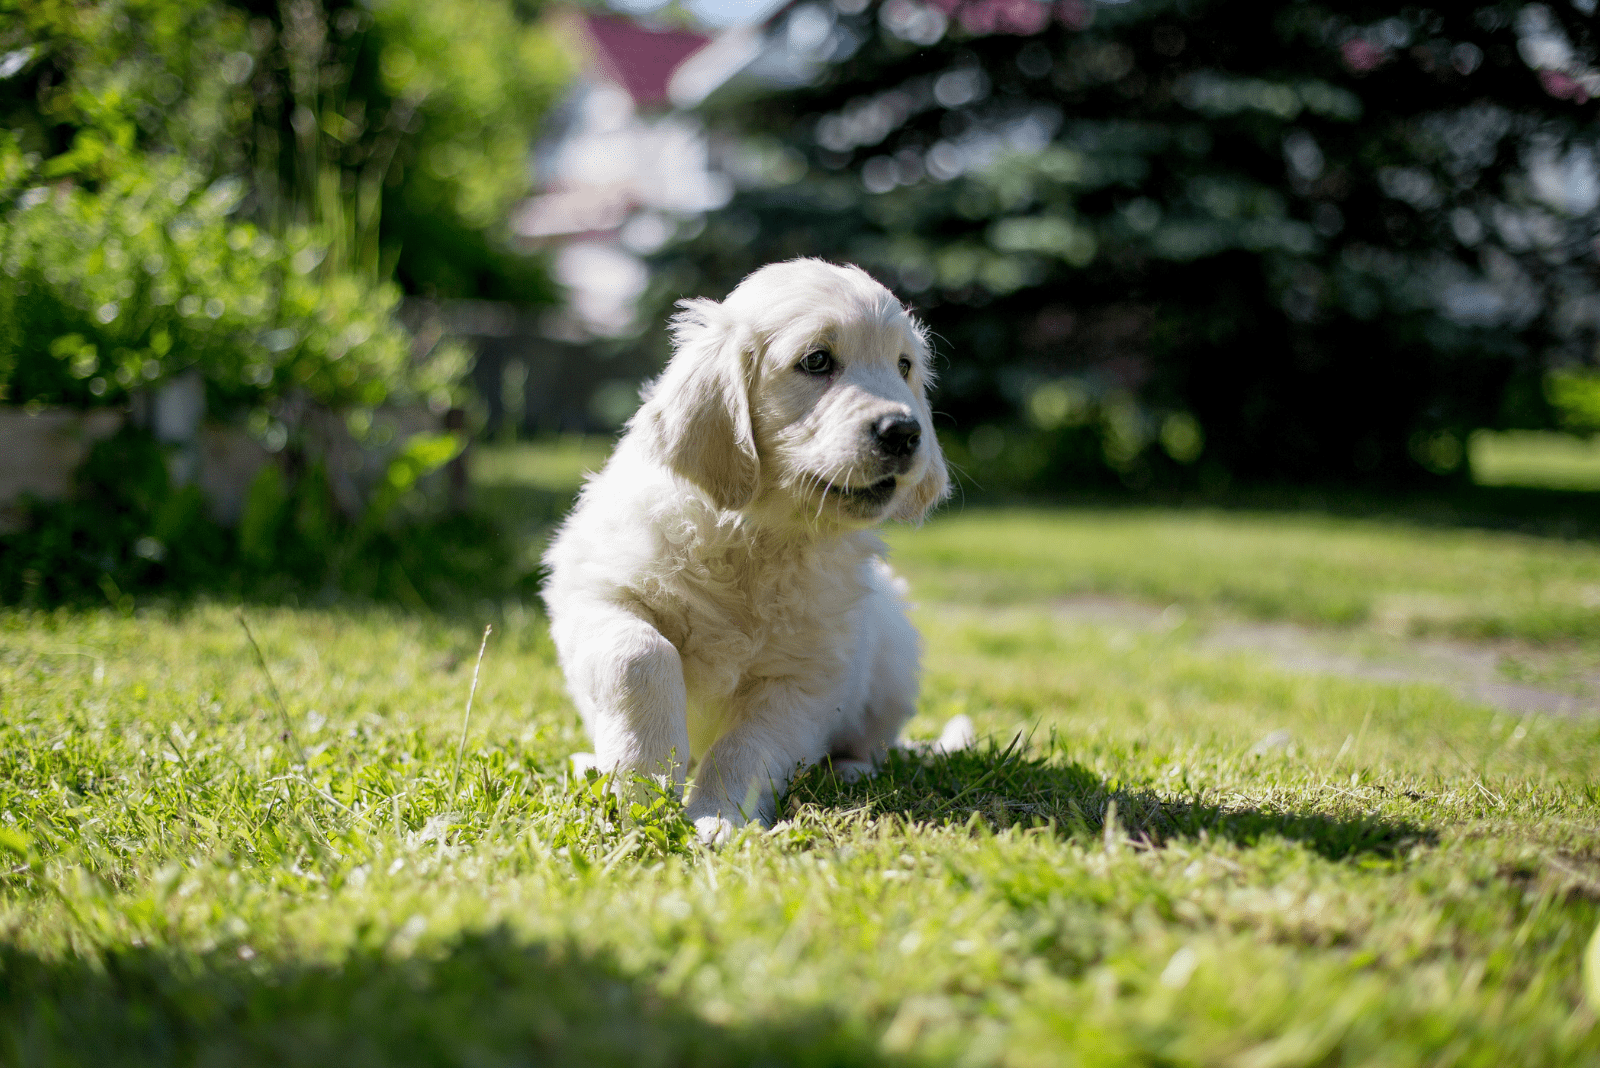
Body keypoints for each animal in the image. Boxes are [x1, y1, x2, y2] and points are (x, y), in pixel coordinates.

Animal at [537, 259, 966, 844]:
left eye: (904, 366)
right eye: (816, 360)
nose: (904, 432)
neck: (759, 539)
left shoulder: (805, 679)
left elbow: (747, 746)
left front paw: (718, 815)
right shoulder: (597, 594)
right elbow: (640, 656)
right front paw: (645, 779)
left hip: (894, 659)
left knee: (876, 742)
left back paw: (851, 770)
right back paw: (590, 764)